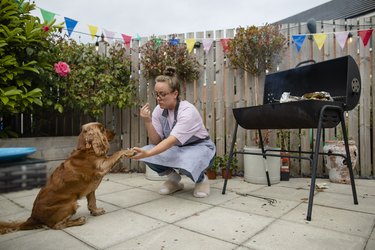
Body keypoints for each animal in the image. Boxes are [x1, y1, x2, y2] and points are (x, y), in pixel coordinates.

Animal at [0, 122, 135, 233]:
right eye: (102, 129)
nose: (115, 132)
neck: (87, 149)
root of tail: (33, 218)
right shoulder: (102, 166)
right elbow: (117, 153)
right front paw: (129, 151)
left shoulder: (91, 189)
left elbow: (92, 202)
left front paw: (96, 212)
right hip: (70, 204)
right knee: (56, 226)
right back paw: (79, 220)